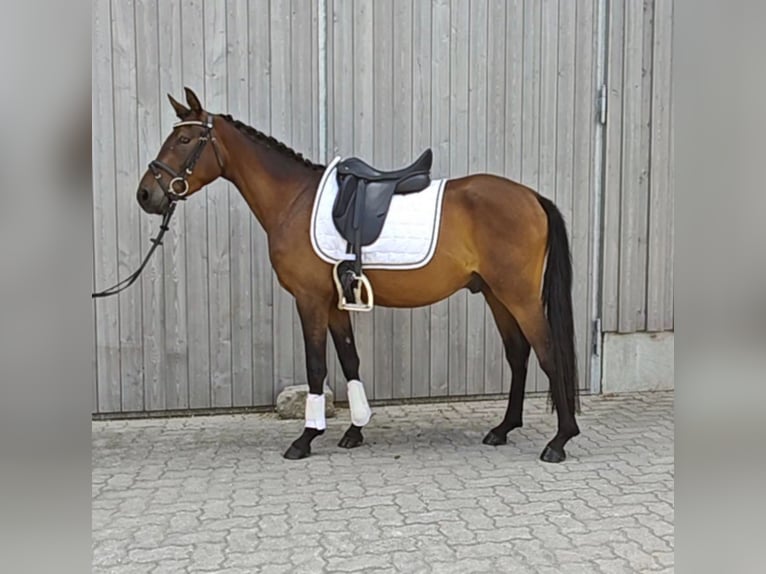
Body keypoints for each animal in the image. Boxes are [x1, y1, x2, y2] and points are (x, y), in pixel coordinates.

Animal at [136, 88, 580, 463]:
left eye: (184, 140)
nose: (145, 194)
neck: (294, 201)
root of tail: (532, 197)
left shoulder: (310, 300)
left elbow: (317, 366)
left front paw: (305, 438)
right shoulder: (335, 301)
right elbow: (350, 359)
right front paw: (355, 429)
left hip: (519, 296)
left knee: (547, 353)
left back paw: (560, 440)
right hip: (495, 294)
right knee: (519, 355)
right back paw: (504, 428)